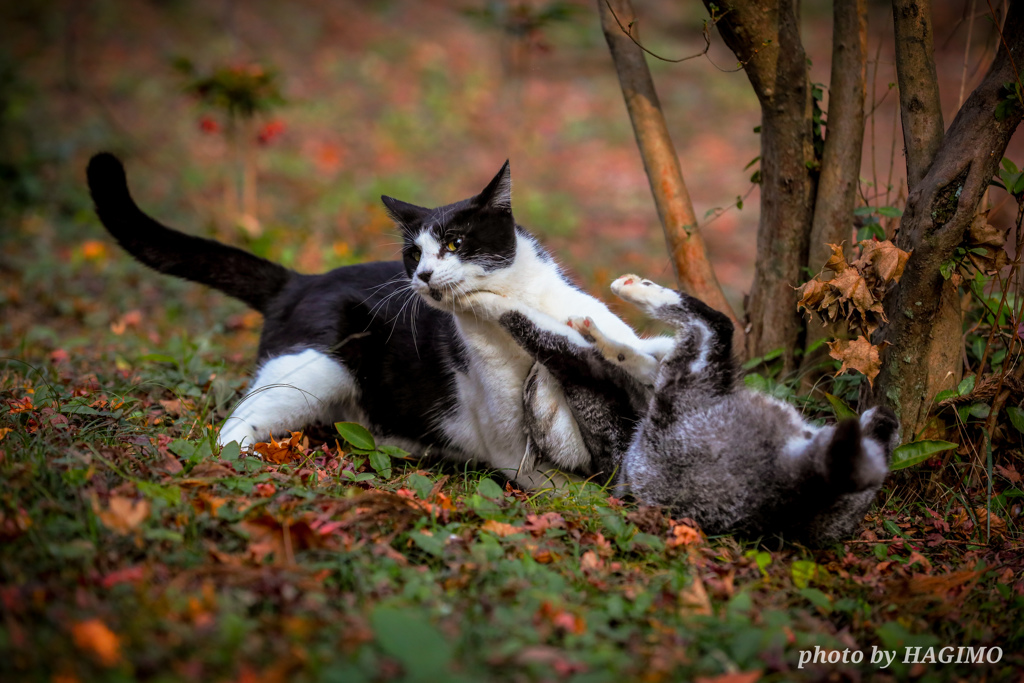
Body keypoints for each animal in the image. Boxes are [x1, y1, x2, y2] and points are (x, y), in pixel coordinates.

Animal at [83, 152, 667, 489]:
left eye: (455, 243)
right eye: (413, 253)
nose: (424, 274)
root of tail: (300, 281)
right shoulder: (509, 449)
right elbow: (562, 478)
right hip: (316, 368)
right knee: (231, 429)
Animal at [491, 274, 901, 540]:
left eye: (530, 385)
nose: (890, 417)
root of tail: (804, 484)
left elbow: (628, 353)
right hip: (695, 370)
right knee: (708, 324)